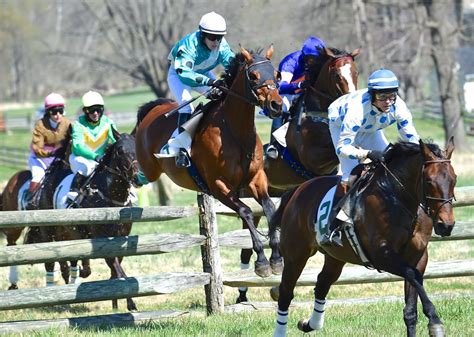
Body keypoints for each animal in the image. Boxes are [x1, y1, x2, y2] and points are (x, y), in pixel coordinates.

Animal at [136, 46, 286, 276]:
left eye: (277, 75)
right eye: (253, 76)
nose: (276, 105)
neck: (235, 132)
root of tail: (152, 110)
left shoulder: (257, 178)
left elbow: (269, 209)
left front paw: (276, 258)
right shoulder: (218, 186)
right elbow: (246, 211)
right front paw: (261, 260)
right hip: (149, 168)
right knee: (137, 174)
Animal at [270, 138, 456, 336]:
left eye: (454, 179)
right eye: (429, 181)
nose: (446, 225)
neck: (398, 198)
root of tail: (297, 190)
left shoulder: (418, 256)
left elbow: (411, 304)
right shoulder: (381, 255)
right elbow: (413, 275)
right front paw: (435, 321)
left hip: (336, 257)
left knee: (322, 284)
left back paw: (309, 324)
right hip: (296, 255)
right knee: (286, 293)